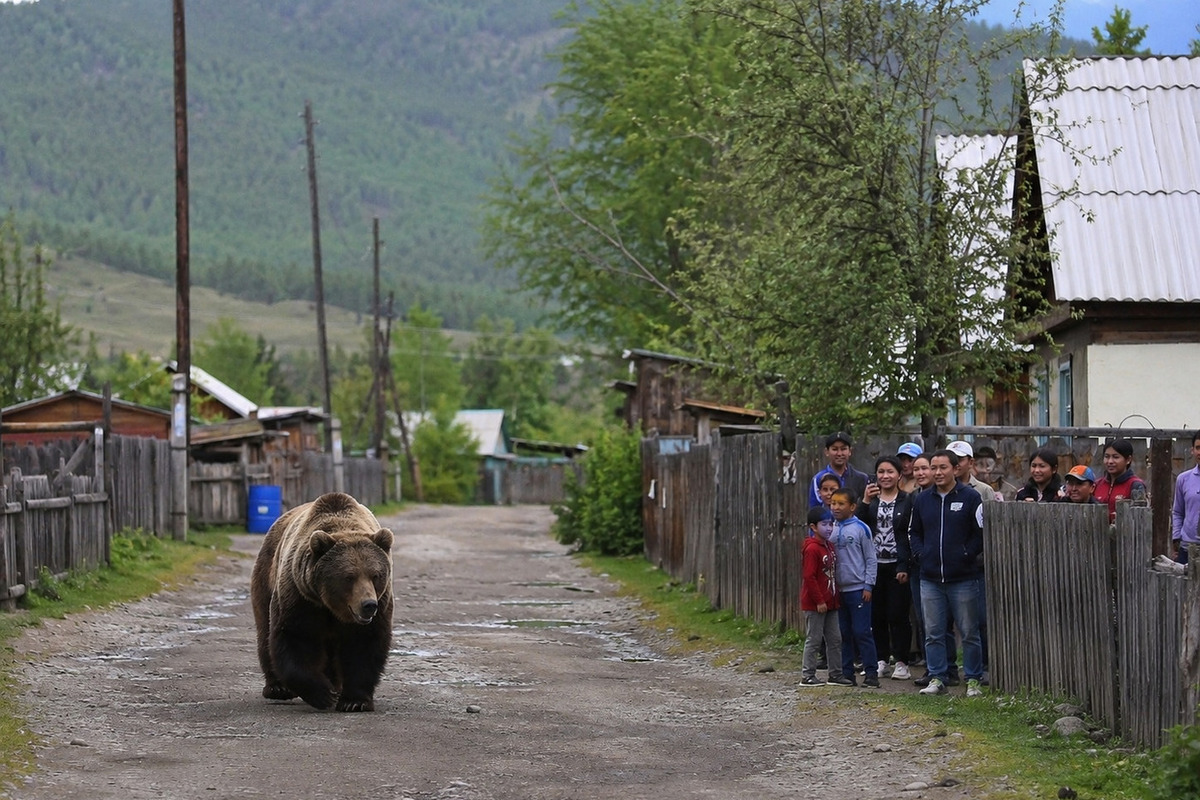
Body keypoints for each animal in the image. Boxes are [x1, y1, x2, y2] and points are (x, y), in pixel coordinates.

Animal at [250, 491, 394, 712]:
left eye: (375, 575)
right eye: (349, 577)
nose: (369, 605)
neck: (331, 606)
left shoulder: (380, 605)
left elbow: (364, 644)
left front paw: (354, 701)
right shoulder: (301, 597)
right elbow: (295, 637)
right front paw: (323, 694)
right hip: (266, 574)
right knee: (265, 630)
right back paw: (277, 688)